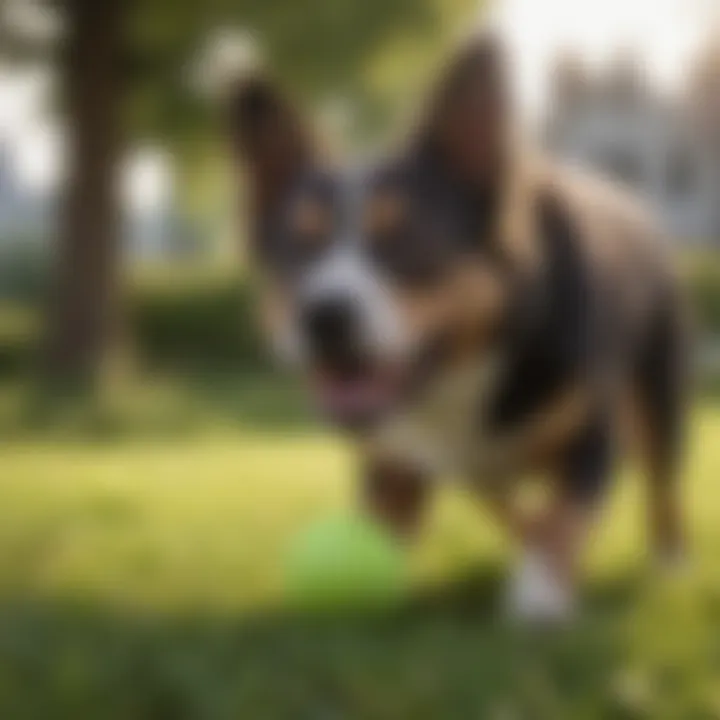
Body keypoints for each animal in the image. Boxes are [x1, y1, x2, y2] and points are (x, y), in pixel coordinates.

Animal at [228, 32, 688, 620]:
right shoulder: (393, 458)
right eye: (297, 247)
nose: (324, 315)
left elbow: (564, 513)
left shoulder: (590, 433)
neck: (464, 372)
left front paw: (538, 594)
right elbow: (384, 520)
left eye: (409, 238)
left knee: (660, 481)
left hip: (658, 393)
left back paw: (671, 560)